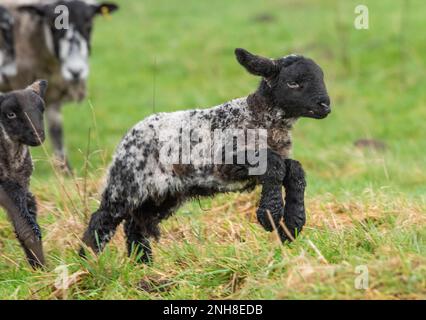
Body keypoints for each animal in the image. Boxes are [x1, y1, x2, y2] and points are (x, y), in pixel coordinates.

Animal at [80, 47, 332, 262]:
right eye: (293, 83)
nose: (325, 106)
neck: (260, 117)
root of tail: (130, 134)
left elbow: (294, 169)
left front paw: (293, 223)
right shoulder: (229, 160)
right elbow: (275, 166)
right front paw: (270, 214)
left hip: (164, 194)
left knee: (135, 226)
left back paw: (144, 265)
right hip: (126, 183)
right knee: (102, 219)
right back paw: (88, 262)